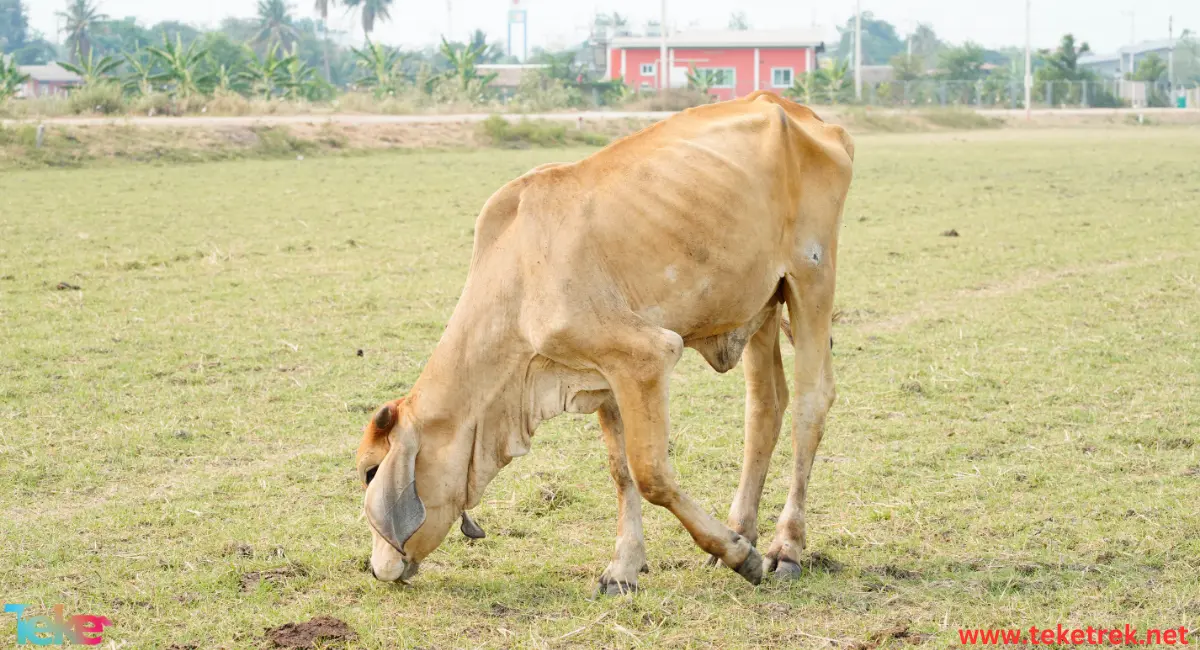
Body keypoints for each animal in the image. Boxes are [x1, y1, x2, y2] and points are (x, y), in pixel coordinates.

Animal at [352, 91, 854, 597]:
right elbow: (621, 469)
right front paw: (625, 567)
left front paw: (739, 556)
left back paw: (782, 548)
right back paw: (742, 527)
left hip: (811, 276)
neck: (519, 277)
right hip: (759, 306)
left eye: (372, 472)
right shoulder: (604, 374)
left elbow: (651, 474)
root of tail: (794, 110)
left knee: (811, 402)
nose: (378, 568)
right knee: (765, 407)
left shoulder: (646, 357)